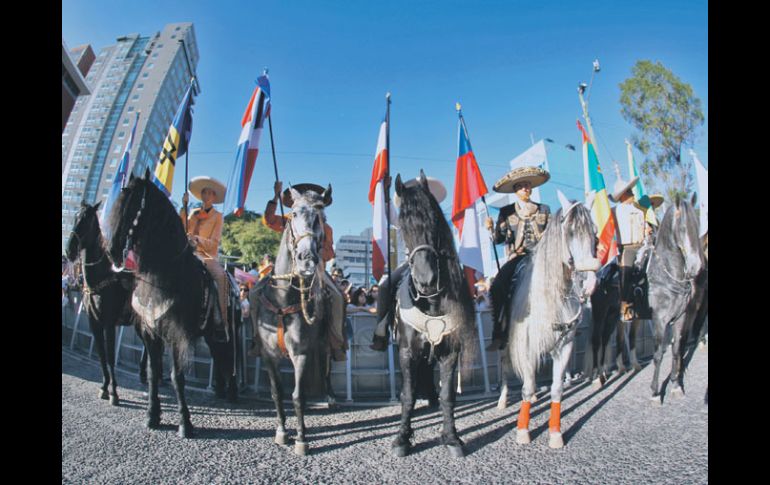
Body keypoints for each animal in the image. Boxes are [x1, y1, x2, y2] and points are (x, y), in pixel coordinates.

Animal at [65, 200, 136, 404]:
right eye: (75, 217)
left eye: (88, 220)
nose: (69, 250)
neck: (103, 277)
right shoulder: (94, 323)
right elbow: (102, 355)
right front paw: (104, 388)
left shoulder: (109, 324)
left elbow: (111, 357)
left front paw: (114, 393)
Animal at [106, 169, 236, 434]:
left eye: (134, 207)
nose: (112, 251)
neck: (168, 271)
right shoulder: (149, 332)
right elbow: (153, 372)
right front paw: (152, 415)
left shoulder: (177, 334)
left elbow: (177, 376)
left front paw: (185, 422)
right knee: (218, 357)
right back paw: (220, 391)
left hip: (223, 331)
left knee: (227, 355)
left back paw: (231, 393)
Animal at [390, 171, 474, 458]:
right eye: (402, 223)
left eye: (434, 219)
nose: (426, 280)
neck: (432, 301)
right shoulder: (406, 351)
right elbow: (407, 395)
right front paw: (402, 438)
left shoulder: (450, 353)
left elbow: (448, 395)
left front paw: (451, 437)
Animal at [644, 195, 704, 402]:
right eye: (683, 228)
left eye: (698, 225)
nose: (696, 267)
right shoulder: (659, 320)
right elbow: (658, 354)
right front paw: (655, 392)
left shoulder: (680, 318)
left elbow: (677, 348)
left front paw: (676, 385)